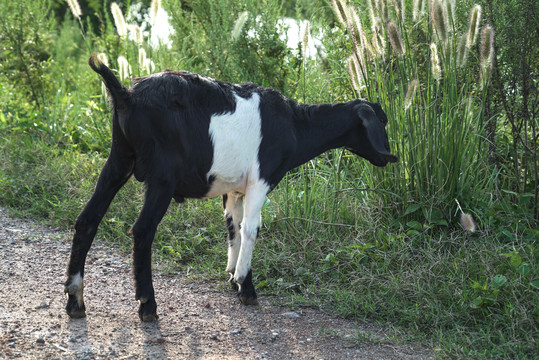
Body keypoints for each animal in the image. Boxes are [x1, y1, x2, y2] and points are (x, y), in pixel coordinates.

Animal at [65, 54, 398, 322]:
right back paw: (147, 305)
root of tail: (126, 95)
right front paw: (246, 286)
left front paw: (231, 276)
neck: (293, 124)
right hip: (162, 176)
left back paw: (75, 300)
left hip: (118, 158)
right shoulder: (261, 179)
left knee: (87, 220)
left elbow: (232, 226)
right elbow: (251, 228)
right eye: (381, 121)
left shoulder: (234, 188)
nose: (388, 157)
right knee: (142, 231)